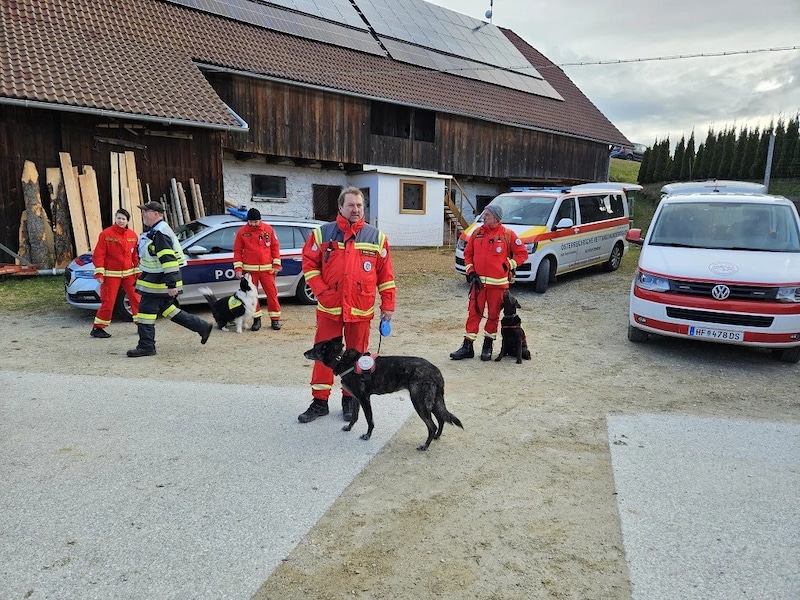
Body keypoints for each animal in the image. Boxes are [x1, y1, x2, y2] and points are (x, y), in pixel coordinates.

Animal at [304, 338, 462, 450]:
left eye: (315, 348)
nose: (304, 353)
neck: (342, 359)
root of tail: (436, 371)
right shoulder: (356, 399)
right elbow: (354, 416)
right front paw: (349, 428)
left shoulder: (364, 399)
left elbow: (370, 420)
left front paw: (367, 435)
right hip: (433, 402)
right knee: (441, 419)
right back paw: (436, 437)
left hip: (419, 403)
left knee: (432, 425)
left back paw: (425, 445)